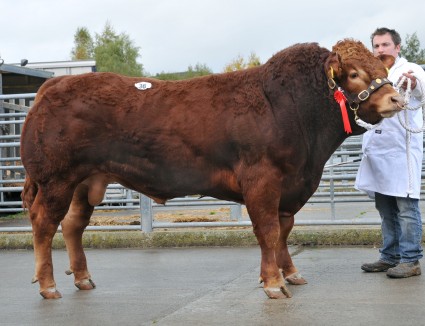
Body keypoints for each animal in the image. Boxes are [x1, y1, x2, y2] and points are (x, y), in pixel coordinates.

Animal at [20, 39, 404, 300]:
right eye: (353, 73)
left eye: (384, 72)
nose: (396, 99)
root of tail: (53, 85)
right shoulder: (262, 180)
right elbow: (267, 231)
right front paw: (273, 283)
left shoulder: (292, 186)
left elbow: (283, 232)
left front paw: (290, 274)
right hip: (56, 179)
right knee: (43, 223)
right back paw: (48, 285)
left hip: (86, 181)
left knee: (73, 225)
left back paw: (82, 278)